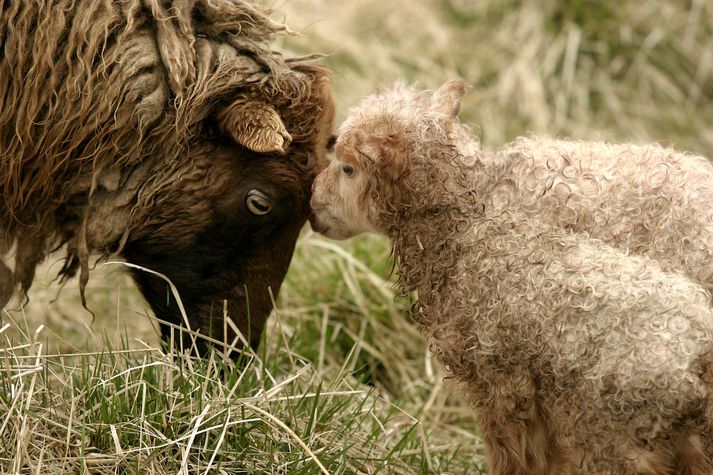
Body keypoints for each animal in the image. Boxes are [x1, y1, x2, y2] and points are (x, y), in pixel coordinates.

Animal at [310, 80, 712, 474]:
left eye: (347, 168)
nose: (312, 203)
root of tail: (698, 357)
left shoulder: (501, 380)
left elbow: (517, 456)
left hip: (619, 431)